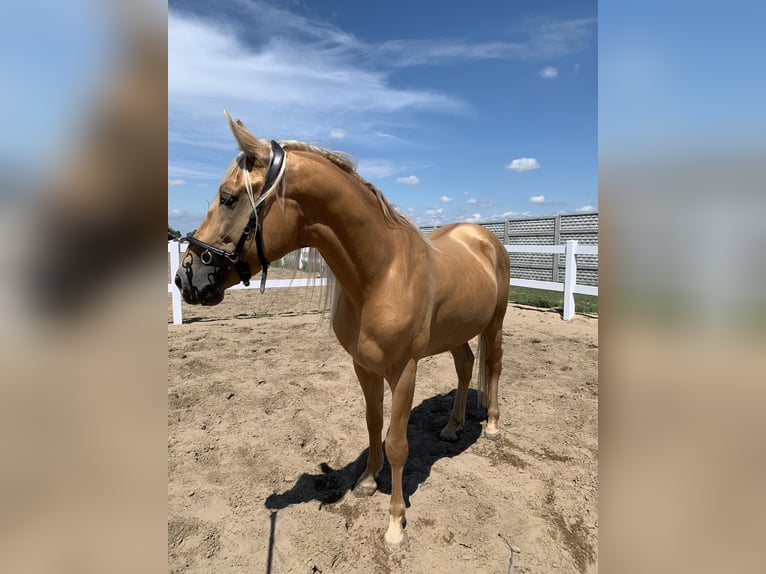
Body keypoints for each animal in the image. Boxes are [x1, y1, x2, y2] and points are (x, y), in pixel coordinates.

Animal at [174, 113, 510, 552]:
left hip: (495, 322)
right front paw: (366, 481)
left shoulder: (405, 370)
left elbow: (397, 443)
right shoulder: (363, 366)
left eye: (228, 197)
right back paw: (452, 429)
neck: (381, 273)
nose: (185, 278)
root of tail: (484, 237)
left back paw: (492, 426)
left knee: (494, 367)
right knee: (467, 365)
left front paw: (395, 524)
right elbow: (373, 424)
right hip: (456, 333)